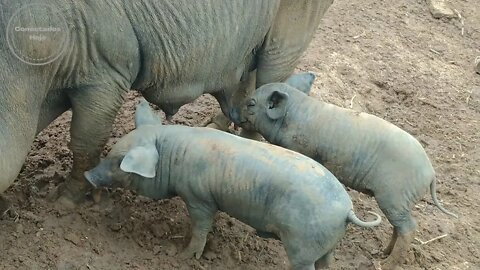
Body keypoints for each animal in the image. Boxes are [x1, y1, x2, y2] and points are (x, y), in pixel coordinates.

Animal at [0, 0, 334, 207]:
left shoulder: (107, 72)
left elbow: (85, 141)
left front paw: (64, 202)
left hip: (295, 23)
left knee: (271, 75)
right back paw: (215, 127)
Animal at [84, 99, 380, 270]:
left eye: (120, 162)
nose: (88, 174)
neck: (171, 154)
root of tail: (346, 210)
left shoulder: (199, 197)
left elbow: (201, 226)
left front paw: (186, 256)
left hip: (303, 247)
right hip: (327, 245)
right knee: (327, 263)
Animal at [240, 73, 458, 270]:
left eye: (251, 104)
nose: (234, 112)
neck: (290, 116)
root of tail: (430, 172)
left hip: (394, 197)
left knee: (409, 228)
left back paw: (384, 264)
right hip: (401, 202)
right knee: (401, 226)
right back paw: (382, 253)